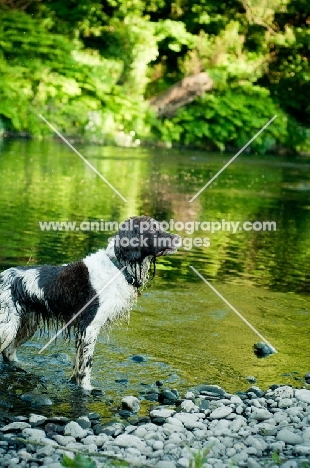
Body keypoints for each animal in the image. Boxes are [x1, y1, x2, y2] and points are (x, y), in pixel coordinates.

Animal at [0, 218, 180, 390]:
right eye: (152, 229)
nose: (178, 239)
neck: (118, 267)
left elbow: (78, 365)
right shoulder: (90, 327)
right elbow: (86, 367)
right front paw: (87, 388)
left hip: (27, 325)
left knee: (8, 352)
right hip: (7, 328)